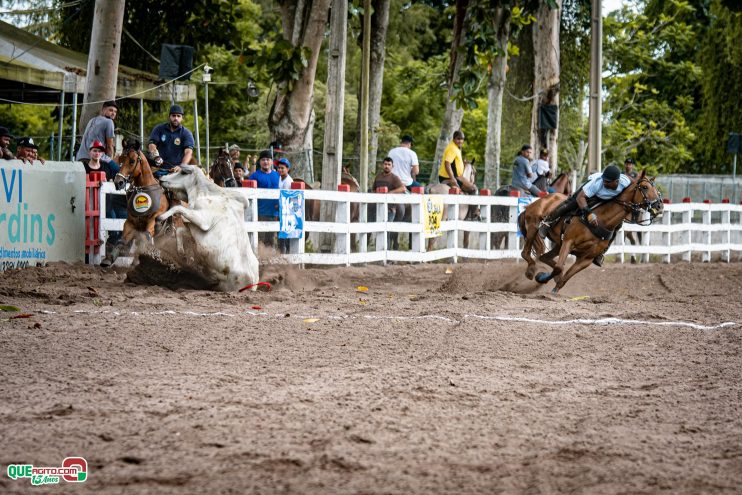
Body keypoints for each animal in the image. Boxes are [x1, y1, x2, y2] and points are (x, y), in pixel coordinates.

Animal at [520, 171, 664, 292]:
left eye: (656, 189)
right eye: (645, 187)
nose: (659, 206)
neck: (602, 220)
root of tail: (535, 203)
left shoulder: (587, 258)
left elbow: (565, 276)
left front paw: (554, 287)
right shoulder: (568, 242)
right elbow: (559, 268)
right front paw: (541, 278)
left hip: (557, 245)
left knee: (543, 257)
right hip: (533, 227)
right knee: (525, 253)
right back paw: (531, 271)